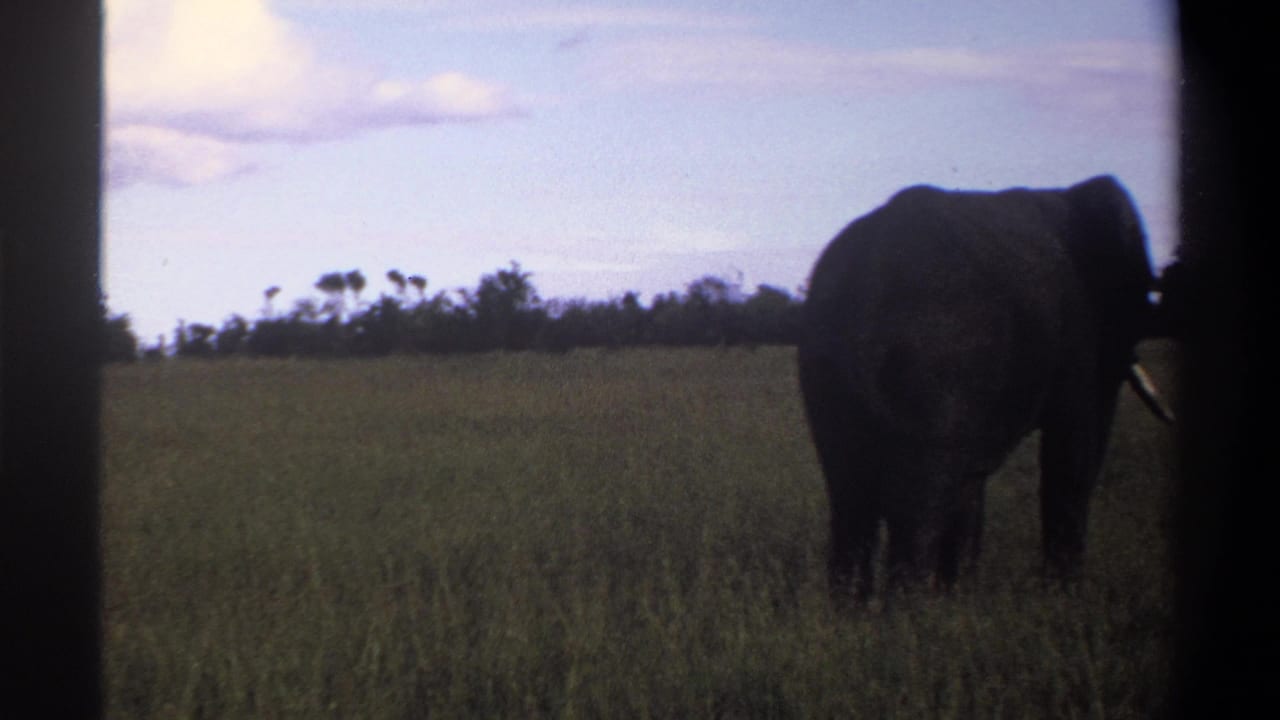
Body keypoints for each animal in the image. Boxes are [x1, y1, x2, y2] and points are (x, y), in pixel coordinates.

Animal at [796, 175, 1173, 601]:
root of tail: (865, 292)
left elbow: (971, 482)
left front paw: (958, 595)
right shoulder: (1078, 337)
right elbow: (1073, 449)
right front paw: (1063, 599)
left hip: (826, 369)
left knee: (850, 495)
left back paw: (853, 610)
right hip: (931, 366)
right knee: (917, 507)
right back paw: (910, 613)